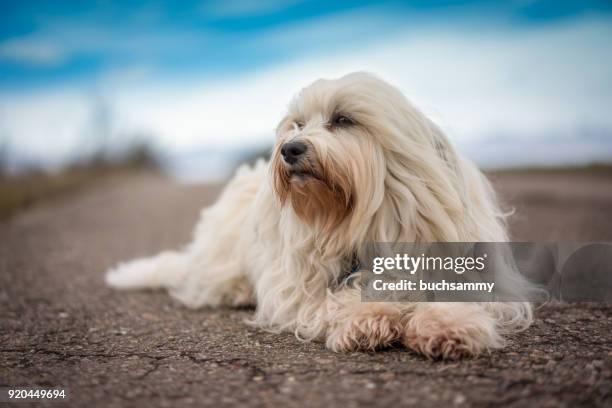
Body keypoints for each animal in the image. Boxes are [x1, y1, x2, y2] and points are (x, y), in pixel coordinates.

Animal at [107, 71, 532, 358]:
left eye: (343, 119)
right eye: (297, 124)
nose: (290, 148)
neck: (360, 220)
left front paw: (450, 324)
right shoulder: (297, 290)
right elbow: (337, 299)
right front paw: (367, 317)